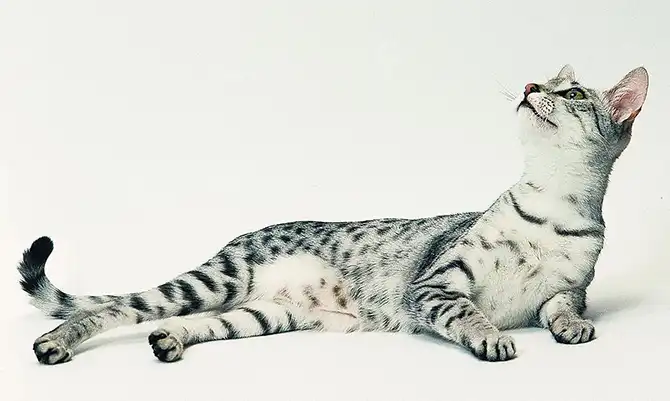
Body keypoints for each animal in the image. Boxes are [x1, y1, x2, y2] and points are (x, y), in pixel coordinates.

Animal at [18, 64, 649, 364]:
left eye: (573, 94)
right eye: (546, 80)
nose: (529, 84)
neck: (549, 204)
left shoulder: (565, 288)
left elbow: (563, 308)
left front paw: (574, 328)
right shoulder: (436, 284)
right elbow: (466, 313)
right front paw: (489, 335)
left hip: (266, 314)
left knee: (199, 323)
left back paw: (170, 339)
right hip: (212, 280)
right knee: (114, 310)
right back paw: (58, 342)